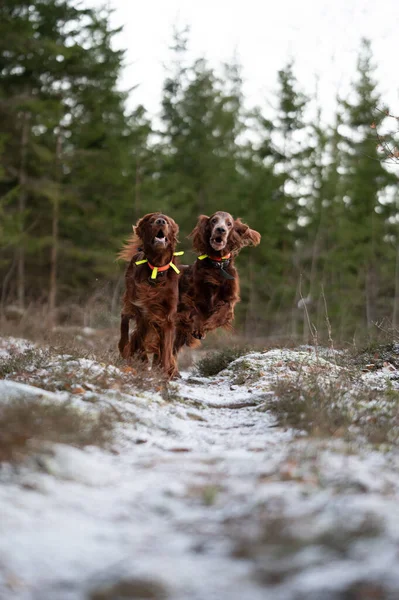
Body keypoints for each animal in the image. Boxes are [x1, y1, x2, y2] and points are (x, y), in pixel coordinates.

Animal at [118, 213, 182, 378]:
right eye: (151, 220)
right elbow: (139, 339)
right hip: (129, 302)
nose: (160, 221)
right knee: (125, 322)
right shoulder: (143, 312)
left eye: (167, 221)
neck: (157, 270)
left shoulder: (166, 317)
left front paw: (164, 371)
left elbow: (165, 349)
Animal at [173, 210, 260, 354]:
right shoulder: (192, 297)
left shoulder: (229, 300)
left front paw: (206, 326)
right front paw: (199, 328)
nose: (221, 230)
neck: (217, 265)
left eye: (229, 223)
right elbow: (196, 311)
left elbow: (221, 314)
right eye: (214, 220)